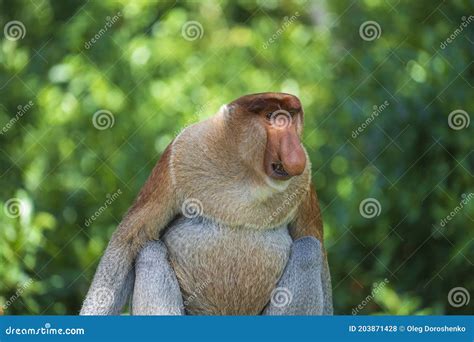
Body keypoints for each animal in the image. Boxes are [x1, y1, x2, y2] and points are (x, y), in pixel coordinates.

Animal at [80, 93, 334, 316]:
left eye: (290, 117)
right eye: (272, 116)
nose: (295, 153)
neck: (247, 173)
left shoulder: (304, 182)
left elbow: (316, 248)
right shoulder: (178, 155)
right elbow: (129, 240)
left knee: (309, 249)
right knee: (149, 251)